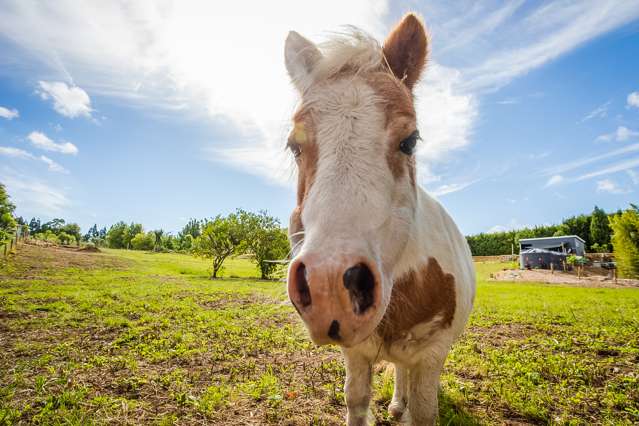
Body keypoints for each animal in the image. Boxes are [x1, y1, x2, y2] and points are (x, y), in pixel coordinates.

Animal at [284, 13, 476, 426]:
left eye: (410, 140)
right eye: (294, 146)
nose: (329, 288)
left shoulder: (431, 357)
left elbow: (423, 411)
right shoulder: (356, 354)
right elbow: (356, 400)